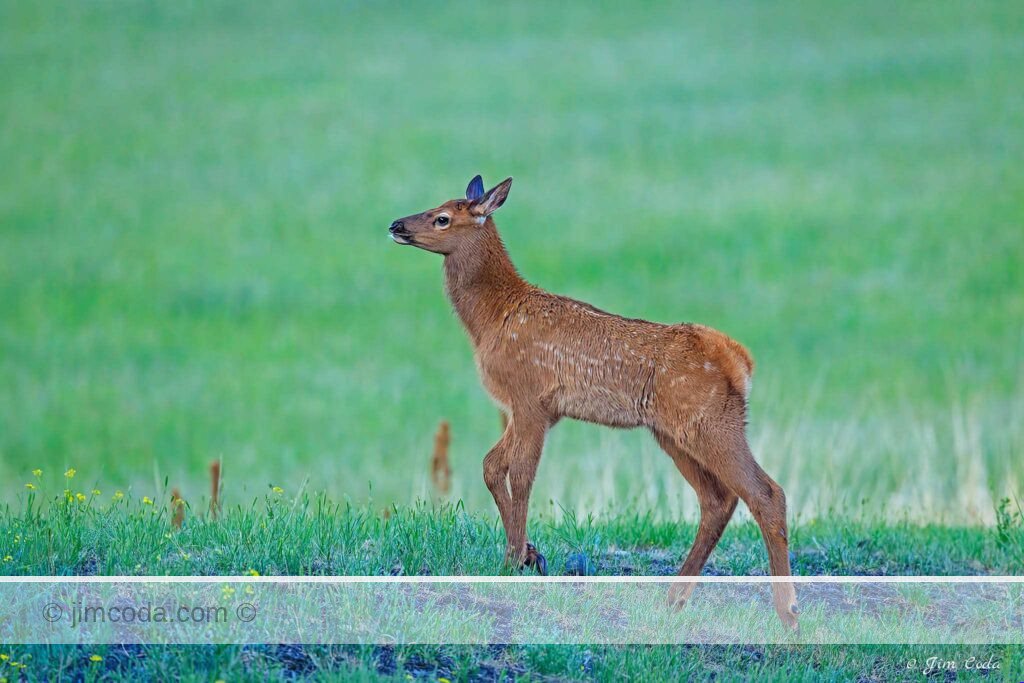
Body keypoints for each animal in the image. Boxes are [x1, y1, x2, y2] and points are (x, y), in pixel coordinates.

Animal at [388, 175, 799, 629]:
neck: (492, 318)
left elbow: (521, 474)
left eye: (442, 217)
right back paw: (674, 599)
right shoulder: (538, 410)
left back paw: (788, 612)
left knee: (766, 493)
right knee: (718, 499)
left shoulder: (530, 396)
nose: (396, 225)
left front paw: (514, 560)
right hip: (674, 432)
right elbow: (492, 465)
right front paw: (529, 554)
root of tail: (741, 361)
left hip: (708, 421)